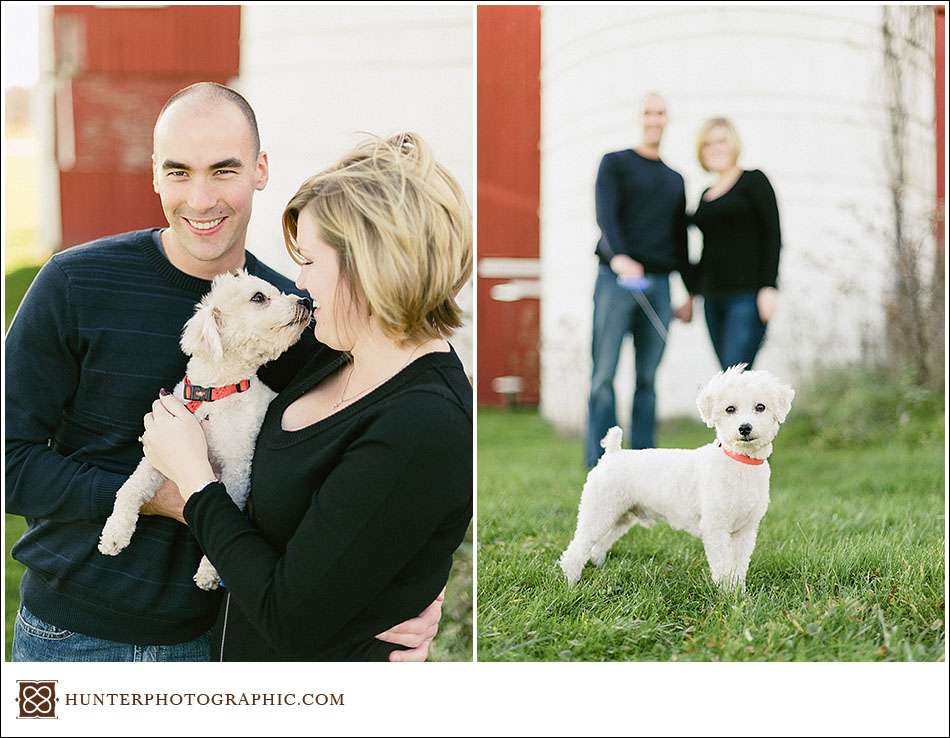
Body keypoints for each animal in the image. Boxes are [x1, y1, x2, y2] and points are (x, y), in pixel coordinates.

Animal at [98, 268, 310, 588]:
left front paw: (210, 571)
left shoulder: (237, 469)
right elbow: (130, 487)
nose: (306, 302)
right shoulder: (158, 454)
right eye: (259, 297)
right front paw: (114, 533)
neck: (214, 395)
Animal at [560, 364, 792, 592]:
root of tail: (612, 453)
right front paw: (725, 593)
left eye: (760, 407)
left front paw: (738, 593)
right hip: (600, 510)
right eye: (730, 409)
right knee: (576, 548)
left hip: (620, 516)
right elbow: (723, 565)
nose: (744, 428)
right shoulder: (716, 527)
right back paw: (571, 583)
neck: (739, 462)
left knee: (598, 545)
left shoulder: (746, 530)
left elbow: (739, 565)